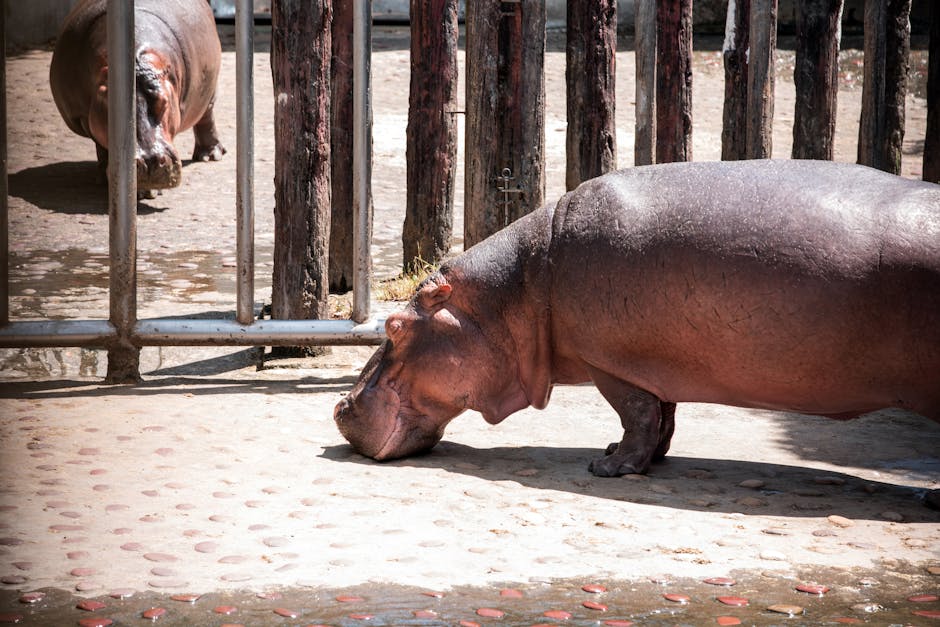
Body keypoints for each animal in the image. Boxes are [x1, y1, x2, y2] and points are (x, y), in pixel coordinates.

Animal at [50, 0, 225, 192]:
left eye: (164, 103)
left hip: (210, 90)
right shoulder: (83, 115)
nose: (150, 162)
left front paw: (147, 191)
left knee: (206, 116)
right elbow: (101, 145)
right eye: (114, 110)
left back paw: (210, 156)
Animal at [334, 160, 940, 477]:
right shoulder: (654, 359)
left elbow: (638, 414)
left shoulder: (612, 363)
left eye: (394, 327)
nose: (340, 407)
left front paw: (608, 467)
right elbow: (664, 415)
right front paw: (632, 458)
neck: (516, 292)